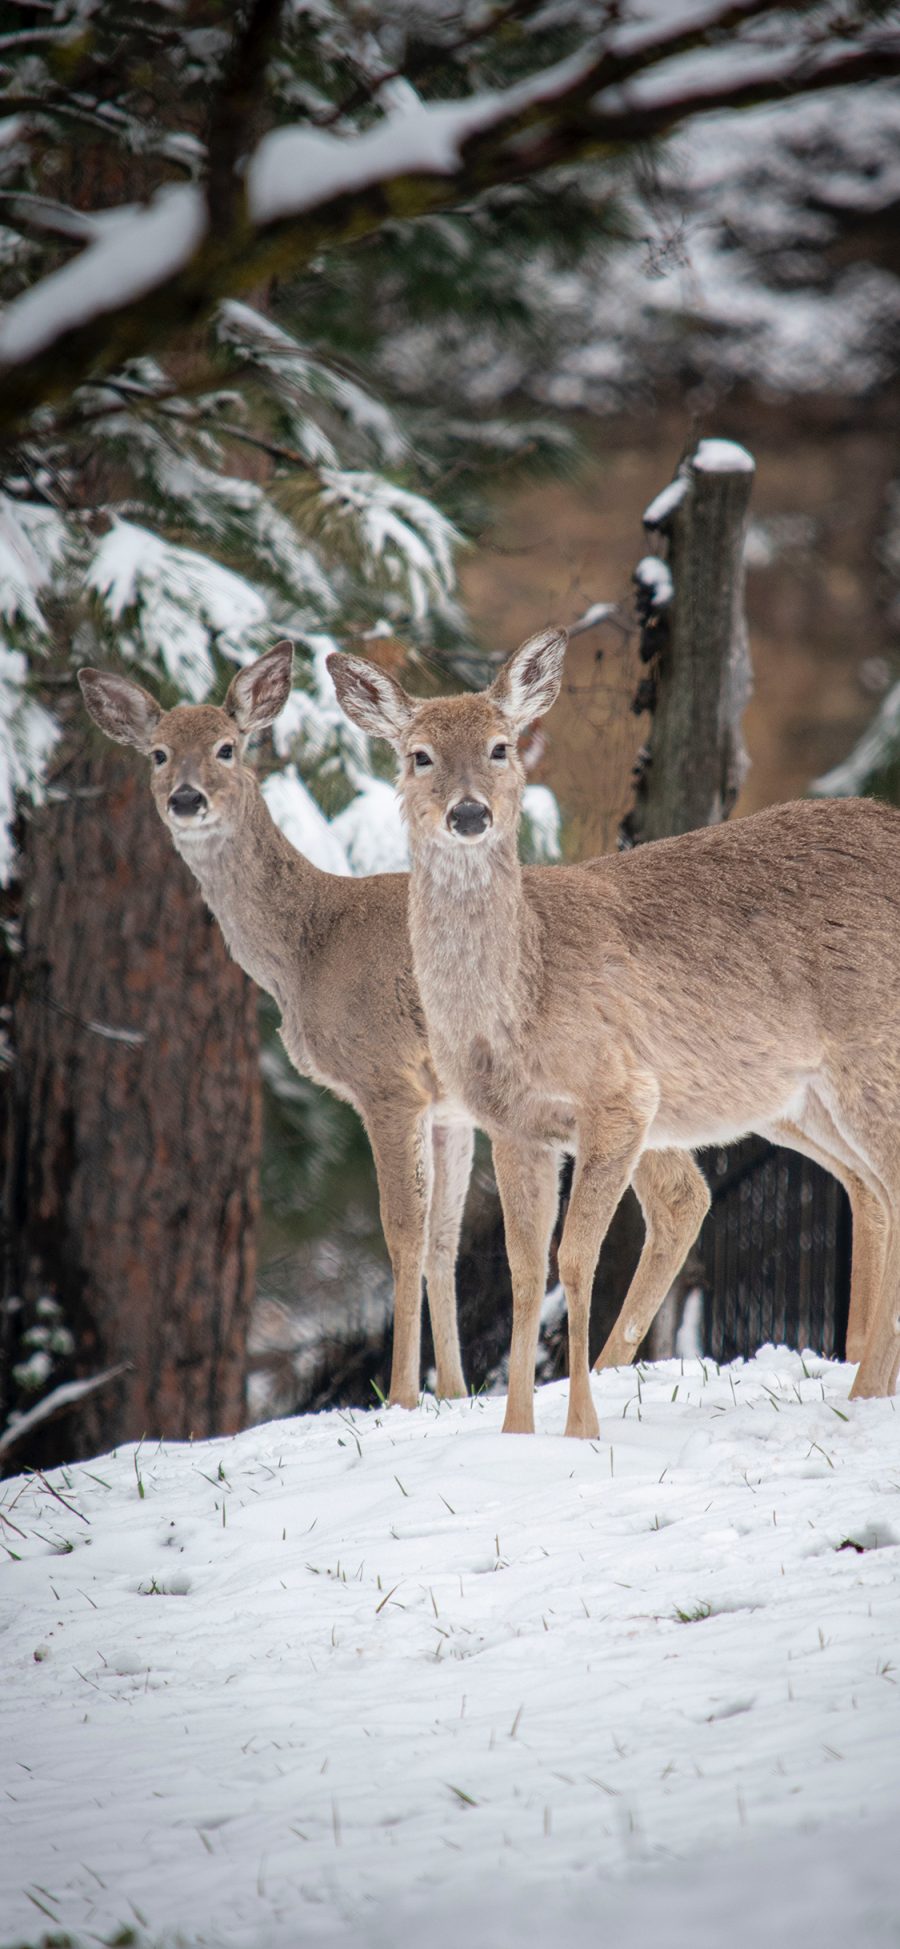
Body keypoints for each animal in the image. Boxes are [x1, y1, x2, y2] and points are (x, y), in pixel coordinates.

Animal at [77, 639, 709, 1418]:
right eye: (159, 753)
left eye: (228, 747)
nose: (187, 799)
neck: (308, 946)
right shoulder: (448, 1106)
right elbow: (441, 1239)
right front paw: (454, 1391)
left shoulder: (385, 1077)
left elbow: (402, 1232)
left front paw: (403, 1395)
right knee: (688, 1195)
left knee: (679, 1196)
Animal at [329, 631, 900, 1442]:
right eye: (419, 755)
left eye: (501, 746)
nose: (469, 814)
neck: (525, 991)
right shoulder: (515, 1124)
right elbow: (526, 1269)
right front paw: (516, 1431)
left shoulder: (621, 1094)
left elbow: (576, 1258)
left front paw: (580, 1428)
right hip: (801, 1098)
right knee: (873, 1190)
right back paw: (867, 1386)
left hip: (867, 1054)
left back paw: (867, 1391)